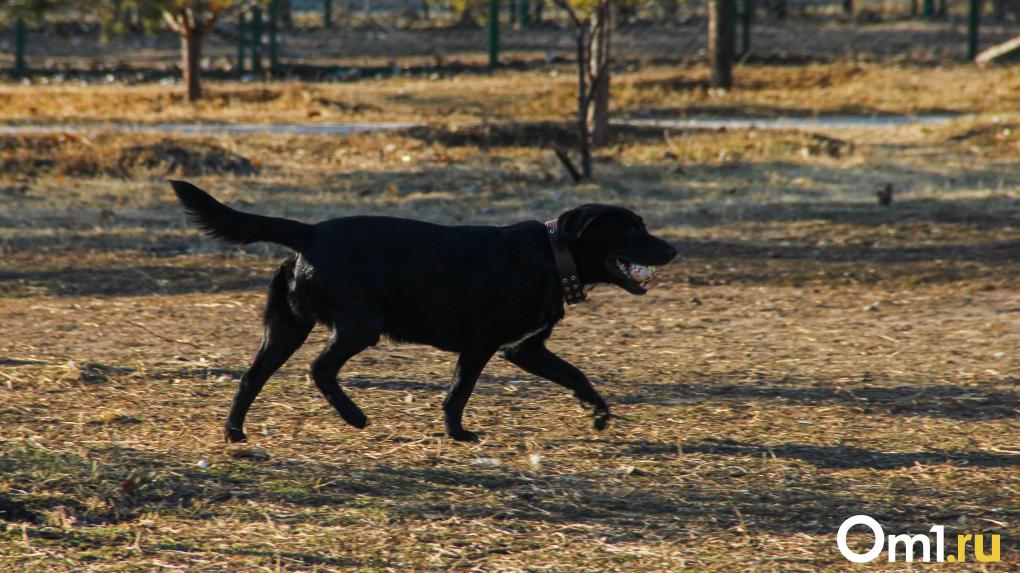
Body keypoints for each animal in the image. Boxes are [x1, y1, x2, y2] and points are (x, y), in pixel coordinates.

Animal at [170, 179, 673, 442]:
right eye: (631, 229)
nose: (673, 248)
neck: (553, 254)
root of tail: (309, 232)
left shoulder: (524, 349)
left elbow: (576, 374)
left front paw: (598, 413)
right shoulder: (483, 343)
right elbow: (459, 391)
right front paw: (459, 433)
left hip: (287, 328)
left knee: (251, 377)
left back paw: (235, 432)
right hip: (361, 324)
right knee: (320, 368)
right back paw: (354, 417)